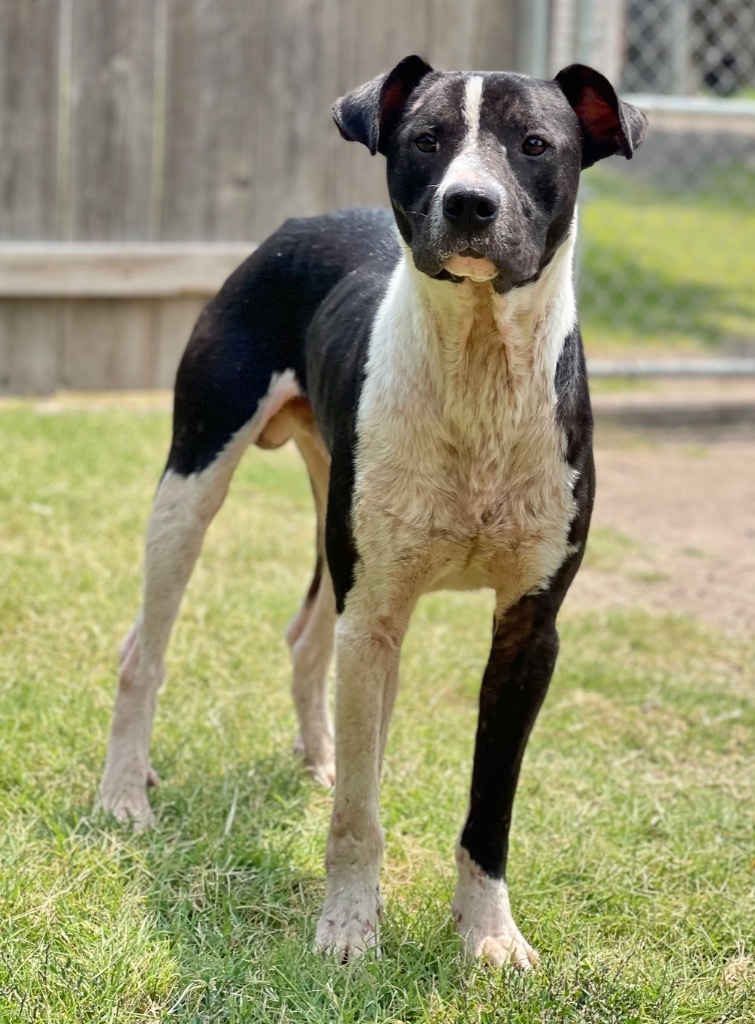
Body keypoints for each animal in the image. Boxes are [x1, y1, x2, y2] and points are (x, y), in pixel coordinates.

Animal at [97, 56, 643, 966]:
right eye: (425, 139)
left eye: (535, 144)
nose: (468, 204)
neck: (479, 370)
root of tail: (299, 223)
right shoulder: (377, 613)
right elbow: (358, 814)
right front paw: (349, 925)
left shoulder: (527, 631)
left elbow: (488, 805)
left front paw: (489, 936)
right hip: (193, 485)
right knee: (146, 647)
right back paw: (122, 794)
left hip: (336, 531)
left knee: (307, 639)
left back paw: (315, 757)